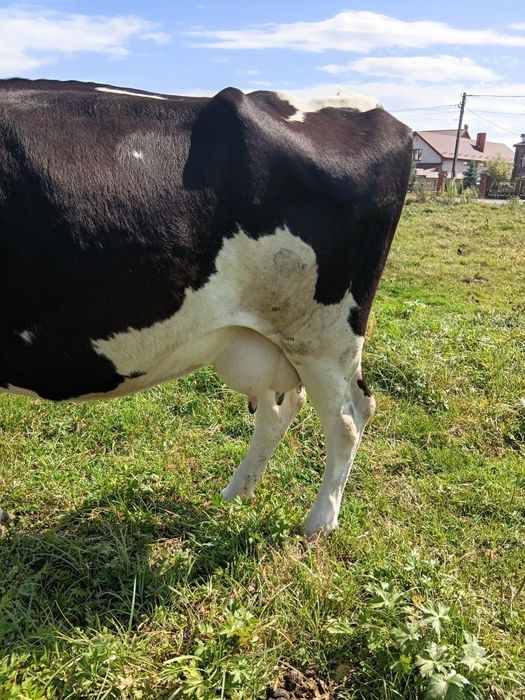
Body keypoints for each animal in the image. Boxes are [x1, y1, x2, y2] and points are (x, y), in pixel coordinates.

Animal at [0, 79, 411, 536]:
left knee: (348, 418)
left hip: (324, 334)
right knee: (281, 408)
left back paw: (319, 522)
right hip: (273, 337)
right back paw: (236, 494)